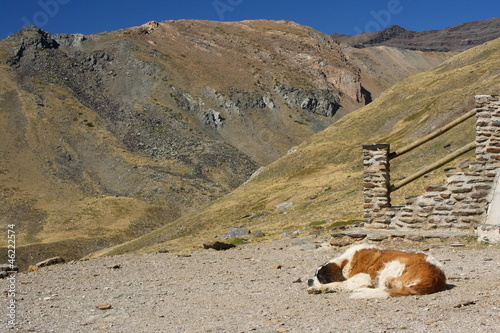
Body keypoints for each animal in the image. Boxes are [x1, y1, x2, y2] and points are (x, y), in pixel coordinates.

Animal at [306, 241, 448, 298]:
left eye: (320, 277)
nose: (309, 280)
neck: (344, 263)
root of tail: (437, 275)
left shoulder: (363, 278)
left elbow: (337, 283)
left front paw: (317, 288)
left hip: (391, 266)